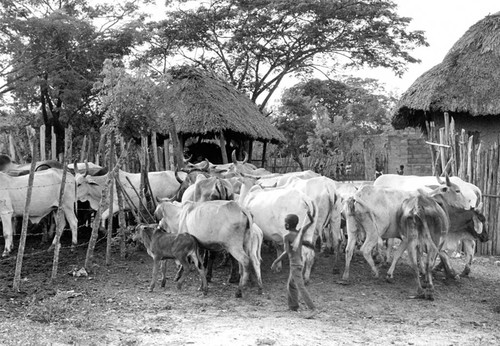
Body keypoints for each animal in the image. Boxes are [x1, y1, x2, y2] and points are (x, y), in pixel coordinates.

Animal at [342, 176, 470, 282]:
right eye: (457, 190)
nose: (468, 204)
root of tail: (357, 195)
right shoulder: (408, 238)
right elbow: (399, 254)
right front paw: (390, 274)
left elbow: (418, 253)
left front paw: (422, 270)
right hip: (373, 233)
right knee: (365, 250)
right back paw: (375, 272)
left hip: (352, 229)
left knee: (349, 250)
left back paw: (345, 275)